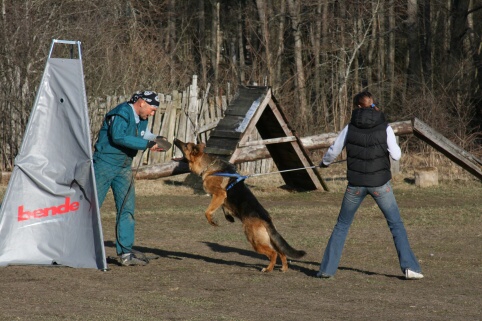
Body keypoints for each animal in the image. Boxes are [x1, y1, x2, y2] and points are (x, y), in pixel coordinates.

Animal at [175, 139, 306, 272]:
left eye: (186, 145)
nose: (175, 139)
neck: (209, 166)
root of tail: (266, 218)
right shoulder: (221, 198)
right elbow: (222, 208)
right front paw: (228, 217)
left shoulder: (220, 194)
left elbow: (207, 212)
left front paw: (213, 221)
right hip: (268, 239)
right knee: (281, 252)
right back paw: (284, 268)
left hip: (254, 240)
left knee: (273, 253)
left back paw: (268, 269)